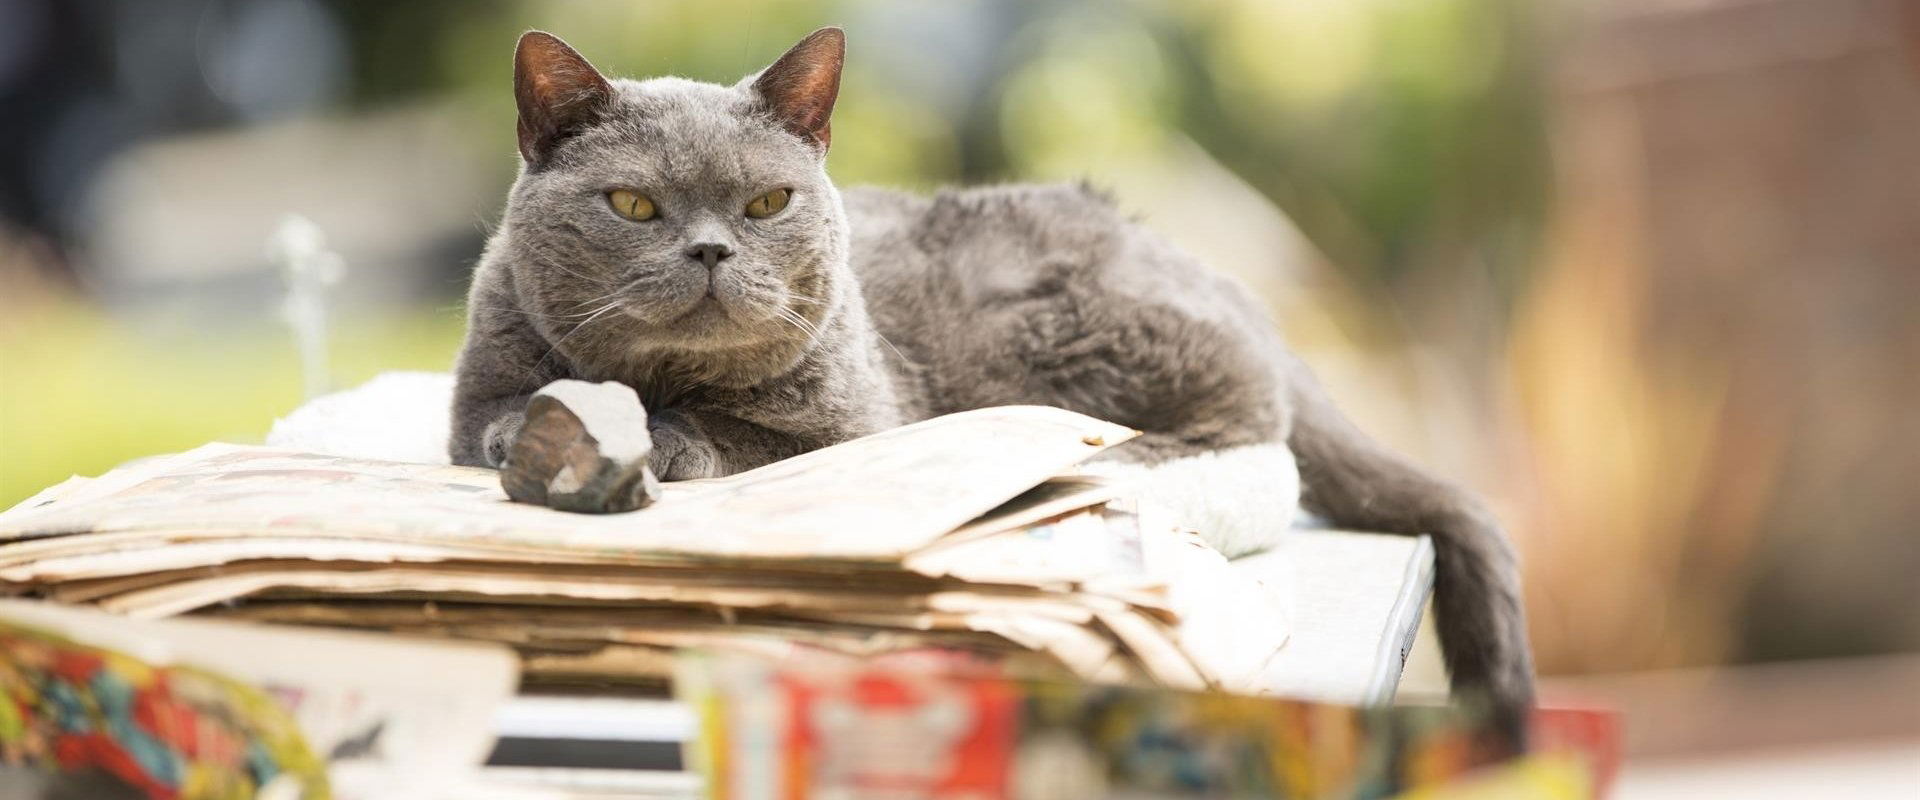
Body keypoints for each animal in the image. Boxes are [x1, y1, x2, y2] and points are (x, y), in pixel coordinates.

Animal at [445, 29, 1528, 740]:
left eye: (767, 202)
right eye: (633, 205)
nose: (711, 249)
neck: (655, 374)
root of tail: (1187, 255)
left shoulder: (856, 421)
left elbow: (746, 430)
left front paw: (662, 435)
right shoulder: (483, 372)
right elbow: (490, 415)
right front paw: (535, 433)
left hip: (1077, 326)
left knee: (1253, 420)